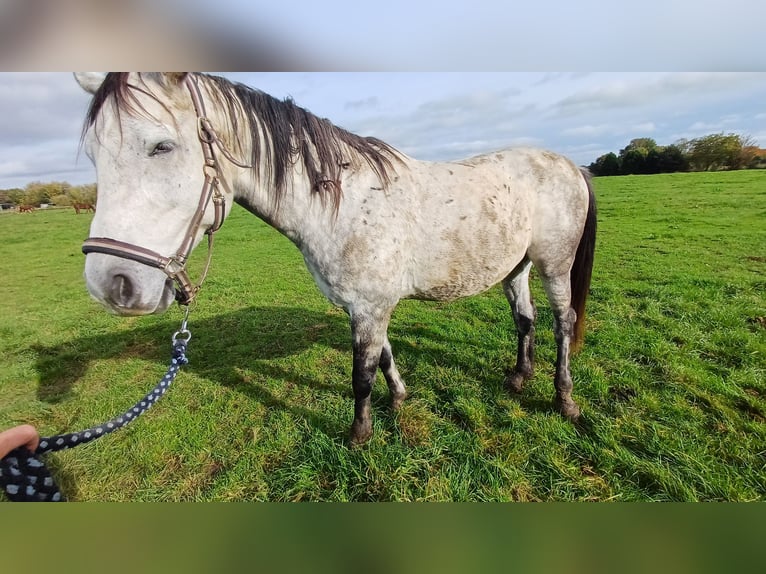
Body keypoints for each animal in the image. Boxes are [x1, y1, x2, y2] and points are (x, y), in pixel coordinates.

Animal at [73, 72, 600, 448]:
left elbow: (361, 375)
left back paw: (565, 400)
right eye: (95, 155)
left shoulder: (369, 307)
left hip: (554, 266)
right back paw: (518, 377)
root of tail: (570, 164)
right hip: (516, 266)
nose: (112, 283)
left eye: (161, 146)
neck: (341, 201)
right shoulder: (366, 306)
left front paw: (359, 436)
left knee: (562, 322)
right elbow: (383, 356)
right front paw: (400, 399)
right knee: (525, 319)